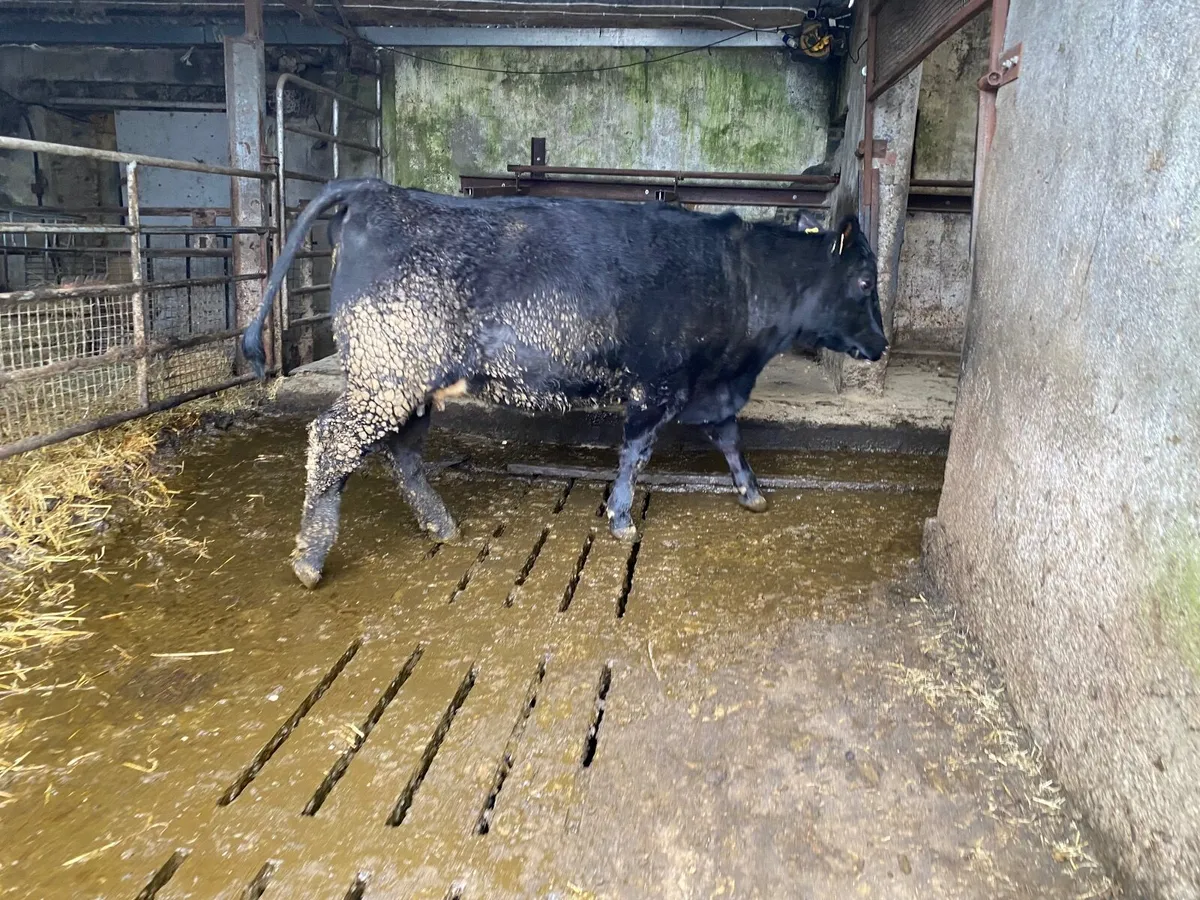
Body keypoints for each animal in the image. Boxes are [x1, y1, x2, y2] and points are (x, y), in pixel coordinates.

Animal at [242, 178, 886, 588]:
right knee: (332, 439)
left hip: (412, 382)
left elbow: (730, 439)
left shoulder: (711, 385)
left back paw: (441, 526)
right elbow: (636, 452)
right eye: (863, 281)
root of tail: (374, 190)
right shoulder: (657, 384)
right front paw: (622, 518)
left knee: (401, 451)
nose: (881, 345)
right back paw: (311, 558)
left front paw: (752, 493)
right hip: (387, 371)